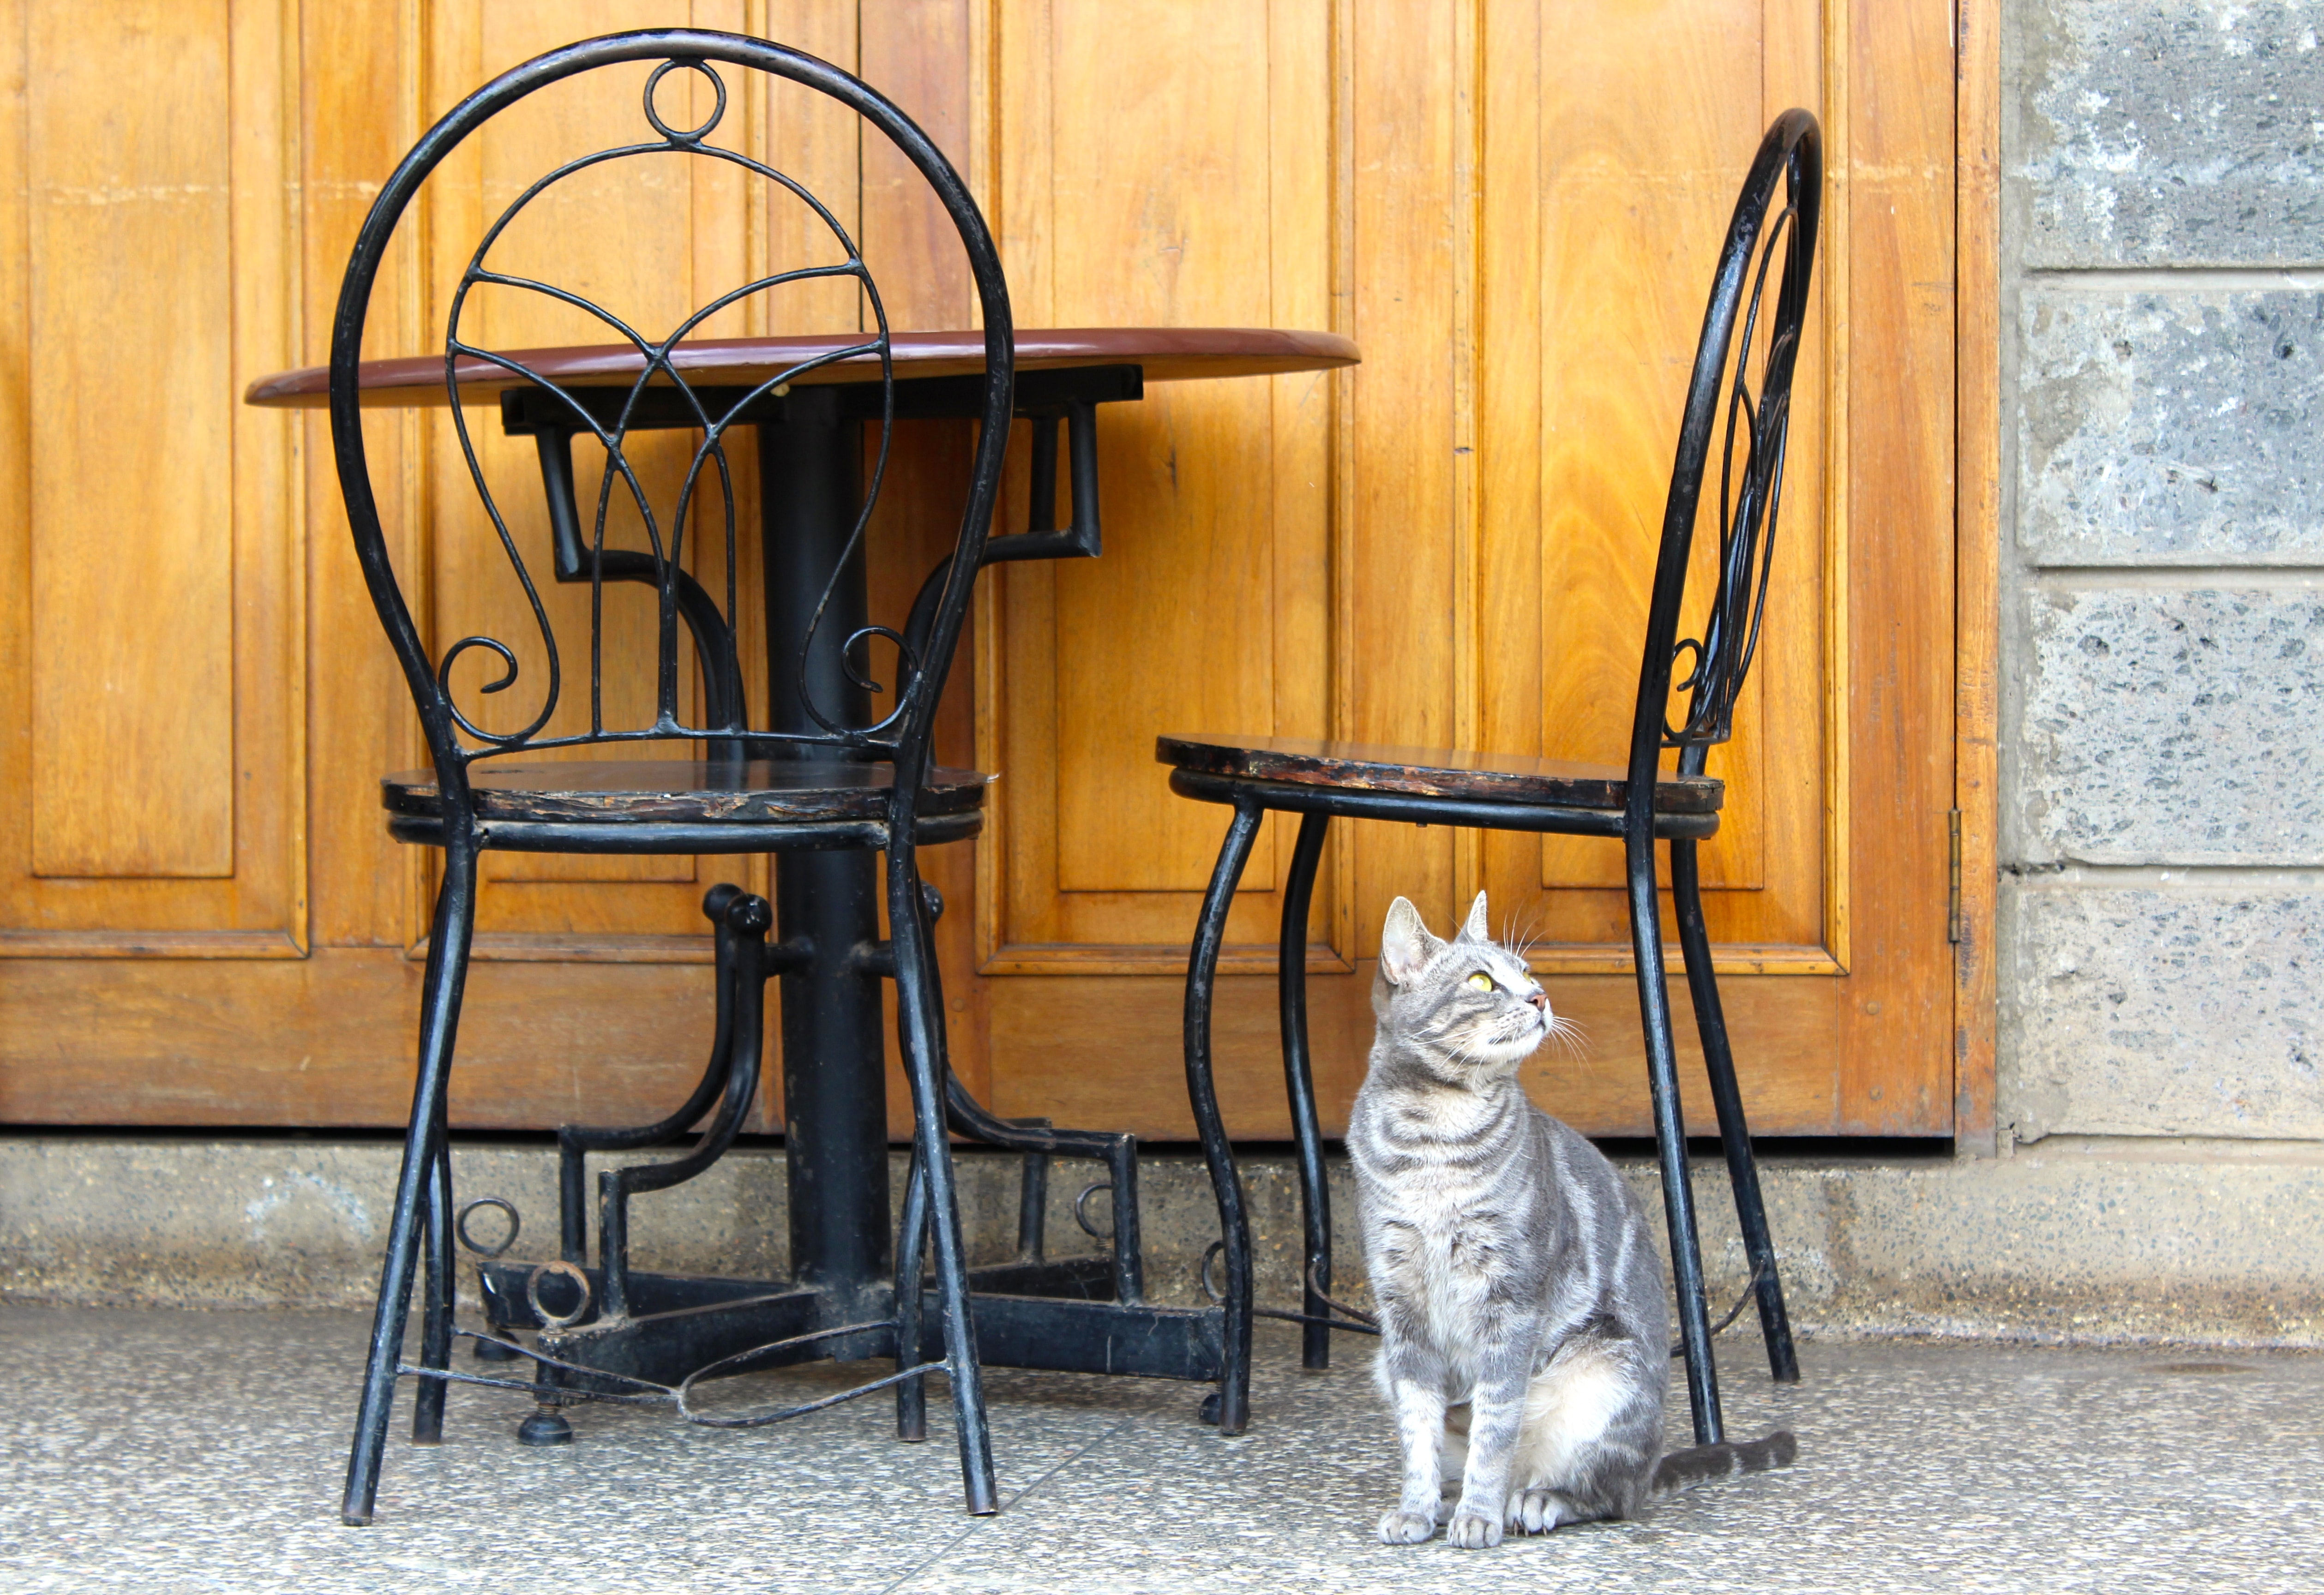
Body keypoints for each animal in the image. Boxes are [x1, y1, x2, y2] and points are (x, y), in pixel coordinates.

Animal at [1348, 893, 1794, 1544]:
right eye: (1482, 981)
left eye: (1527, 973)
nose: (1539, 998)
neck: (1433, 1140)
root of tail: (1651, 1468)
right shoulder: (1399, 1312)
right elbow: (1418, 1431)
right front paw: (1417, 1508)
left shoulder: (1509, 1303)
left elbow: (1495, 1428)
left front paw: (1478, 1517)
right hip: (1381, 1360)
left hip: (1606, 1380)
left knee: (1606, 1493)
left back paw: (1531, 1502)